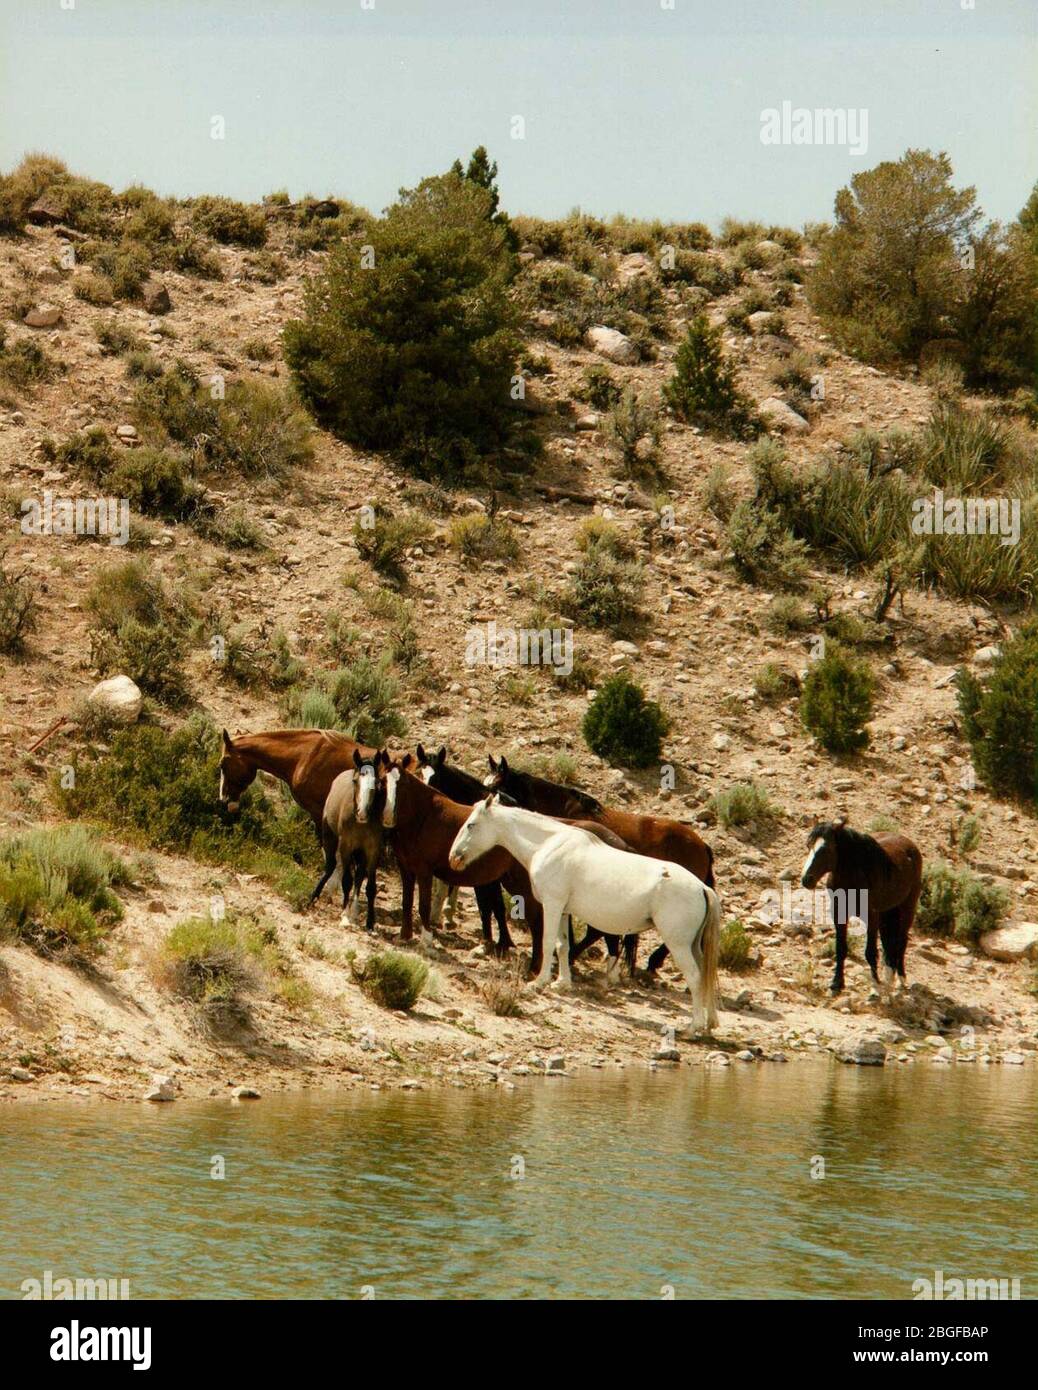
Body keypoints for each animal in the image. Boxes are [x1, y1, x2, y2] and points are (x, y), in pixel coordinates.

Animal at [450, 800, 717, 1028]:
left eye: (471, 824)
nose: (454, 857)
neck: (548, 844)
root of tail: (702, 888)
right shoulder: (563, 910)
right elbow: (563, 945)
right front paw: (561, 983)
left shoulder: (552, 904)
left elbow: (548, 943)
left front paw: (539, 982)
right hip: (693, 946)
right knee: (705, 977)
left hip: (678, 944)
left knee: (695, 977)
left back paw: (694, 1027)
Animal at [800, 817, 922, 995]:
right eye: (808, 845)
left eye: (826, 849)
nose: (806, 879)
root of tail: (910, 847)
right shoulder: (839, 914)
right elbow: (841, 948)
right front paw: (837, 983)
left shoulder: (871, 917)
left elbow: (870, 951)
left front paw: (875, 986)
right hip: (887, 912)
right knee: (889, 944)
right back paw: (889, 977)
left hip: (907, 908)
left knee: (901, 941)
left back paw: (900, 978)